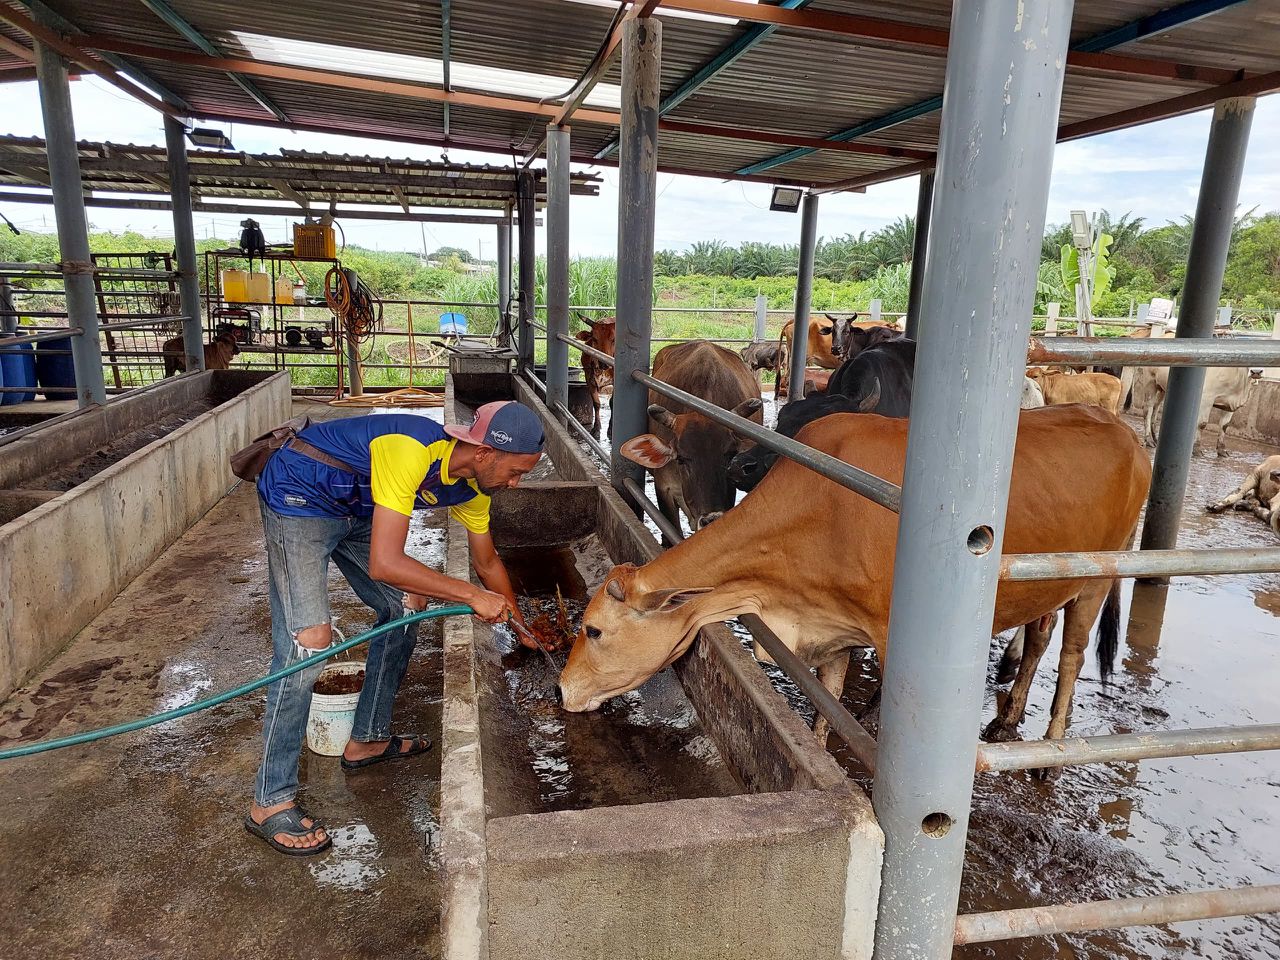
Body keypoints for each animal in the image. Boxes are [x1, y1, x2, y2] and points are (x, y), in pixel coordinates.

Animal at [560, 401, 1152, 757]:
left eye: (593, 629)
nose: (563, 687)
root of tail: (1123, 429)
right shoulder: (832, 625)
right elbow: (830, 697)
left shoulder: (891, 641)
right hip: (1051, 582)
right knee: (1039, 637)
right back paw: (1008, 717)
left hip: (1099, 575)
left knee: (1072, 653)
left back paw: (1050, 745)